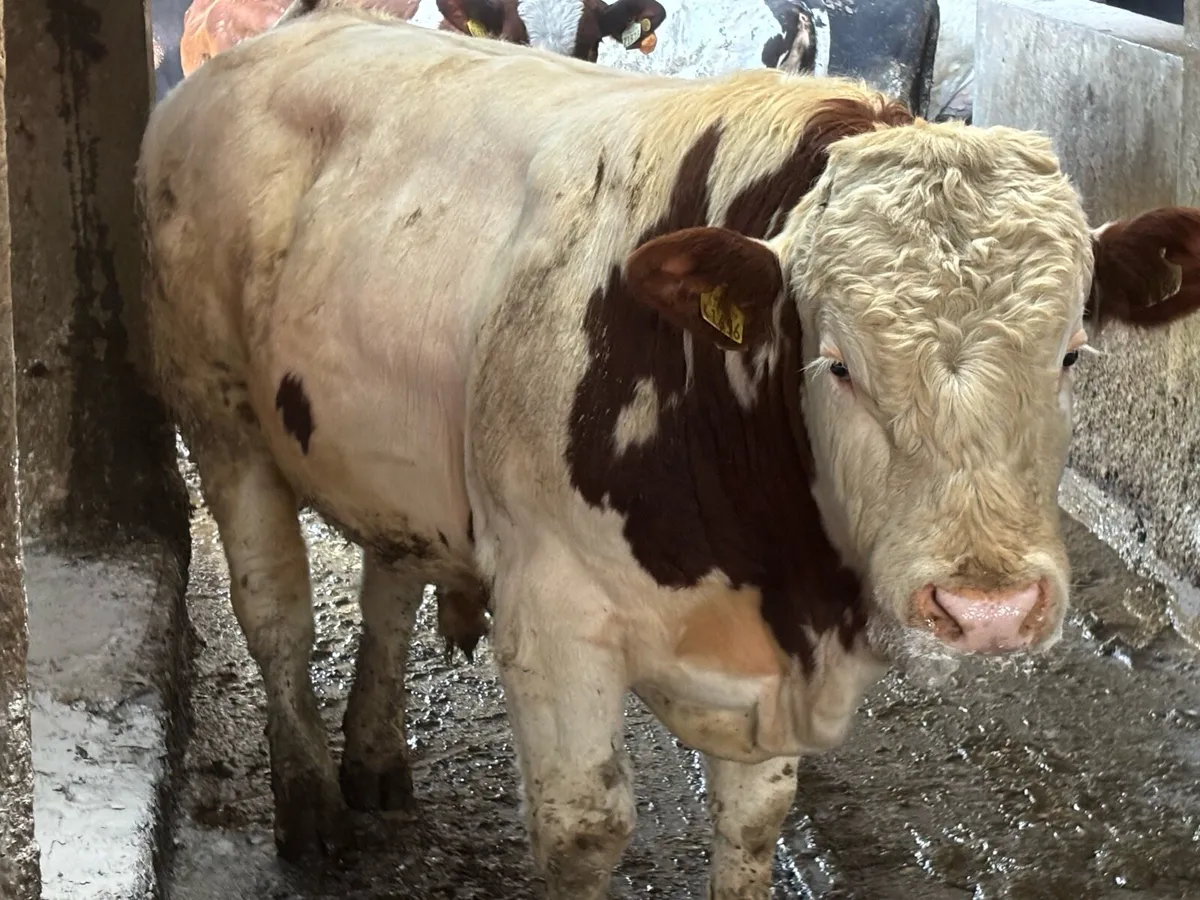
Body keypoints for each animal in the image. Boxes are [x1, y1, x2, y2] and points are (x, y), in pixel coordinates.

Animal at [136, 8, 1200, 898]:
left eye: (1072, 351)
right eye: (835, 362)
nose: (988, 608)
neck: (778, 585)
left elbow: (756, 821)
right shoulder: (553, 619)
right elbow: (584, 831)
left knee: (389, 578)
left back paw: (374, 757)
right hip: (219, 418)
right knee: (275, 611)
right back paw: (312, 804)